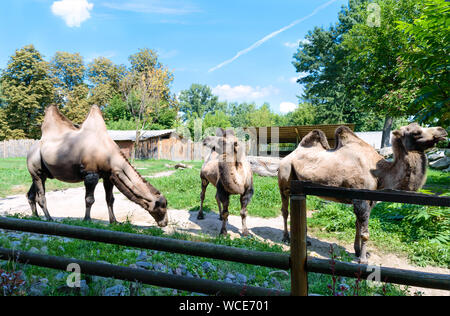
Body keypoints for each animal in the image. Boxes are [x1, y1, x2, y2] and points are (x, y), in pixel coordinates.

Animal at [26, 104, 171, 227]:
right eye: (162, 206)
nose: (165, 223)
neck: (110, 155)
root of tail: (31, 150)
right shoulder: (91, 174)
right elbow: (90, 199)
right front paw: (87, 220)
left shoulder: (108, 176)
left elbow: (110, 199)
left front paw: (114, 221)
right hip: (36, 167)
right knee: (41, 196)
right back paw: (49, 218)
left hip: (42, 173)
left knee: (31, 193)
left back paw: (35, 216)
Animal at [278, 123, 446, 264]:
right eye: (416, 132)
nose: (442, 130)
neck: (380, 173)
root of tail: (287, 156)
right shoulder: (360, 198)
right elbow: (365, 232)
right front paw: (363, 259)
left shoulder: (369, 200)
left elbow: (358, 225)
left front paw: (358, 252)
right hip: (284, 178)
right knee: (285, 210)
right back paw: (286, 238)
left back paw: (305, 240)